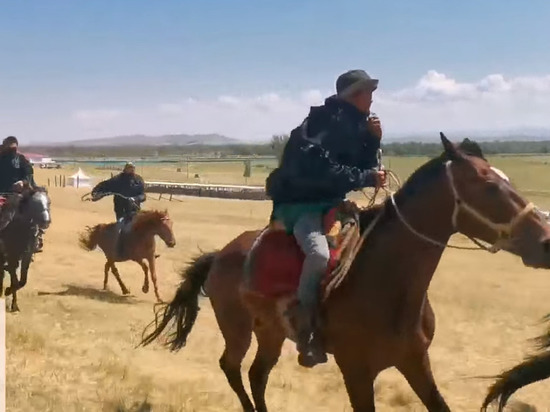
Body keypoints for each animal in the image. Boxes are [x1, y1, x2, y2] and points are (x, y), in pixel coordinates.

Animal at [140, 134, 550, 410]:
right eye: (490, 186)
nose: (546, 240)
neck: (390, 286)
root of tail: (220, 255)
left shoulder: (415, 362)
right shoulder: (356, 371)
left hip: (270, 332)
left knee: (257, 374)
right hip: (237, 329)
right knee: (232, 367)